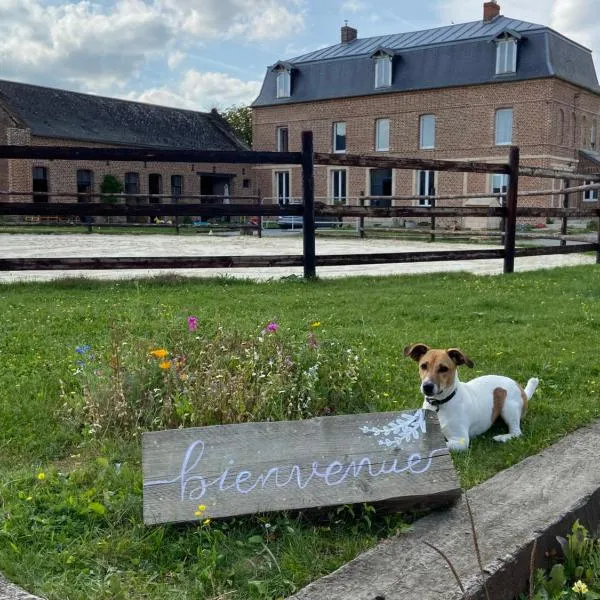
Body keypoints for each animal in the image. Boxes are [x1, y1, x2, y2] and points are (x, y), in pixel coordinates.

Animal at [404, 342, 540, 450]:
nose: (427, 386)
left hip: (508, 408)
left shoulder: (460, 440)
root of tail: (521, 389)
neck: (439, 404)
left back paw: (502, 437)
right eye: (423, 366)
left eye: (444, 368)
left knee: (517, 432)